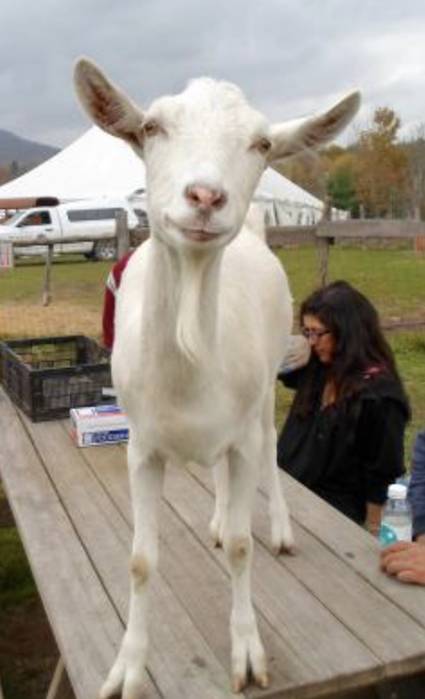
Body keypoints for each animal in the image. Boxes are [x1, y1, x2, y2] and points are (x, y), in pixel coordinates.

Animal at [74, 59, 360, 698]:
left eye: (263, 144)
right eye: (150, 127)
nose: (206, 196)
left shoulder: (243, 432)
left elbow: (241, 546)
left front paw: (248, 654)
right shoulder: (141, 445)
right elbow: (141, 559)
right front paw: (127, 669)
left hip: (266, 388)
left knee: (269, 452)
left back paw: (279, 527)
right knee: (224, 484)